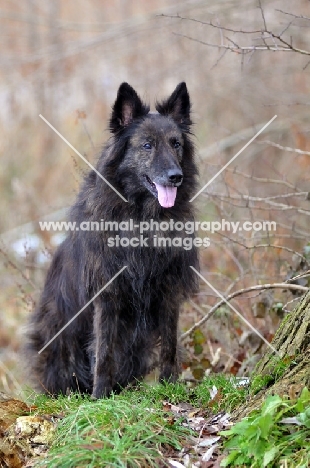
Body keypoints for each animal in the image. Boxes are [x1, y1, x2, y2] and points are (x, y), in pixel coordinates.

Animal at [25, 82, 199, 396]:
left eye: (176, 143)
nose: (175, 177)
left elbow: (170, 344)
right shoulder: (108, 293)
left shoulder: (169, 289)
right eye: (147, 145)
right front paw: (100, 396)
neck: (142, 217)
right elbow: (104, 351)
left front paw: (170, 385)